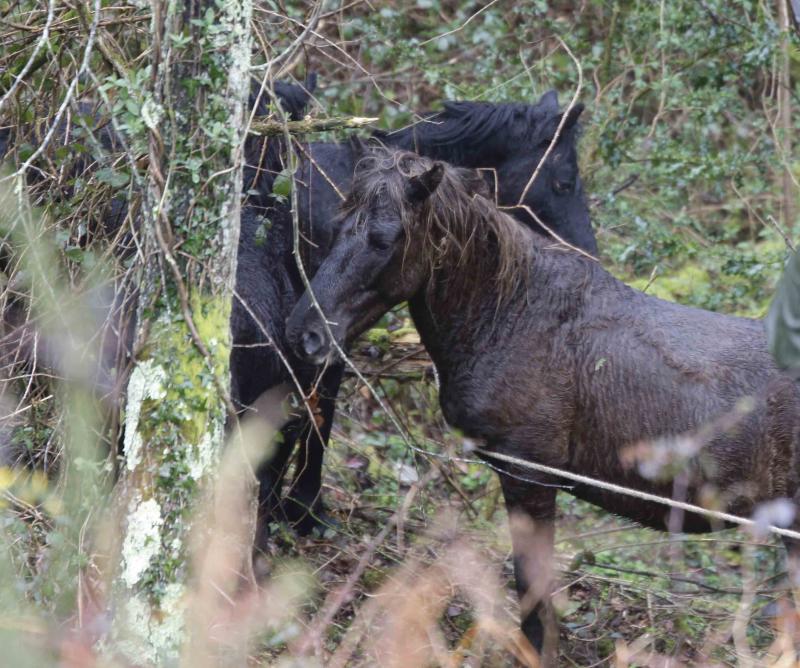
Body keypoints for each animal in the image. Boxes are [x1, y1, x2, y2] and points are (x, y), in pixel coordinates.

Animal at [284, 145, 800, 661]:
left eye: (384, 238)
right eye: (338, 226)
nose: (303, 334)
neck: (514, 316)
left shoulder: (528, 479)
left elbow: (532, 592)